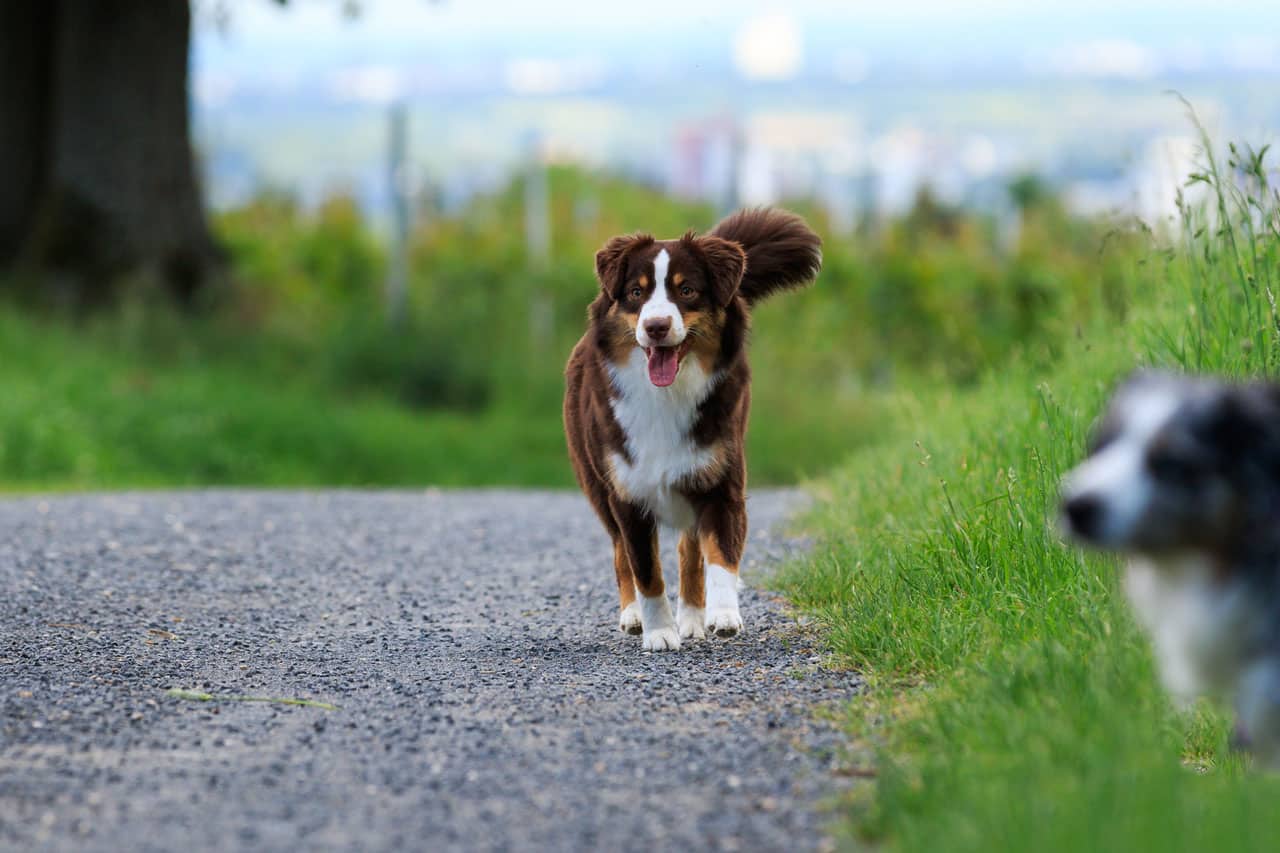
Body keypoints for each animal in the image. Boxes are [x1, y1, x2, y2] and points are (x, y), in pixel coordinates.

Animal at [560, 206, 819, 650]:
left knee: (689, 550)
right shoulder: (627, 492)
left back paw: (694, 617)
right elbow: (646, 570)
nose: (657, 327)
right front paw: (659, 632)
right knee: (619, 551)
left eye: (687, 291)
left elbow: (720, 556)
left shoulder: (720, 480)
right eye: (636, 293)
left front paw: (722, 613)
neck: (666, 396)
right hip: (596, 484)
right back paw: (632, 616)